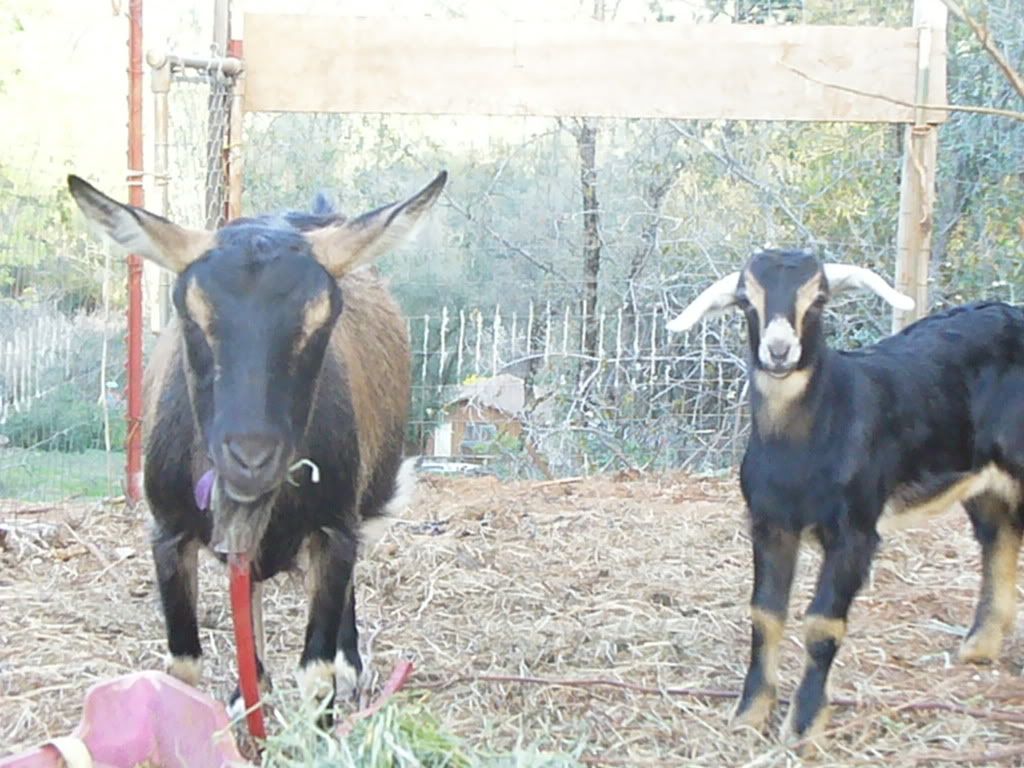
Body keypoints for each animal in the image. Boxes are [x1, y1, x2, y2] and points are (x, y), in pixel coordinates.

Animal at [67, 170, 446, 713]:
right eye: (190, 311)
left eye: (323, 318)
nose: (251, 458)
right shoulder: (167, 532)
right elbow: (184, 666)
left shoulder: (333, 529)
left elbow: (317, 673)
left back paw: (345, 668)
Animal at [667, 249, 1024, 742]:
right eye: (745, 301)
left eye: (819, 299)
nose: (779, 350)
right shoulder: (769, 523)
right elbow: (765, 614)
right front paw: (749, 712)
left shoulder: (855, 529)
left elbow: (822, 623)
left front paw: (803, 726)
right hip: (984, 477)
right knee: (999, 537)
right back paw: (978, 647)